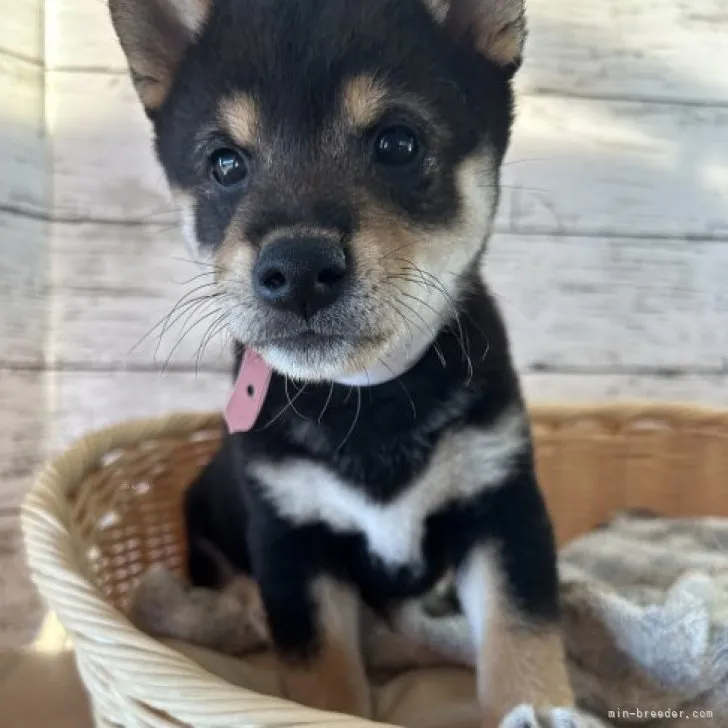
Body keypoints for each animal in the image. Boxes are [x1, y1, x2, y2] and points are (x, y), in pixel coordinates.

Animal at [109, 0, 576, 724]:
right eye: (224, 164)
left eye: (397, 144)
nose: (297, 269)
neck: (365, 397)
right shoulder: (290, 543)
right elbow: (322, 677)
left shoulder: (502, 505)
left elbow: (522, 638)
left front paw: (539, 706)